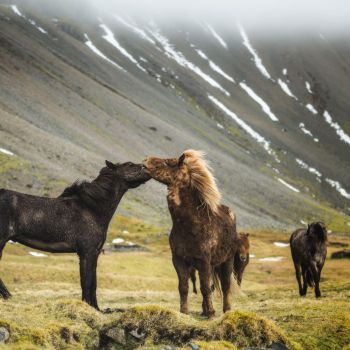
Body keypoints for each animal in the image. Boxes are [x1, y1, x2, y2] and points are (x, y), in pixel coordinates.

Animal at [0, 159, 149, 308]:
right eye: (129, 165)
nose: (146, 167)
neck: (92, 209)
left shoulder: (95, 253)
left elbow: (93, 282)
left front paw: (96, 308)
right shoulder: (87, 252)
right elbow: (87, 281)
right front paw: (88, 305)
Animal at [143, 150, 238, 318]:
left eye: (168, 162)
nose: (145, 160)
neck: (190, 225)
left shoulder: (204, 260)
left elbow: (205, 288)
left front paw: (211, 314)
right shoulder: (179, 260)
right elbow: (184, 287)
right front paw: (184, 312)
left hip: (227, 260)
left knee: (225, 286)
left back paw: (226, 310)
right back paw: (204, 310)